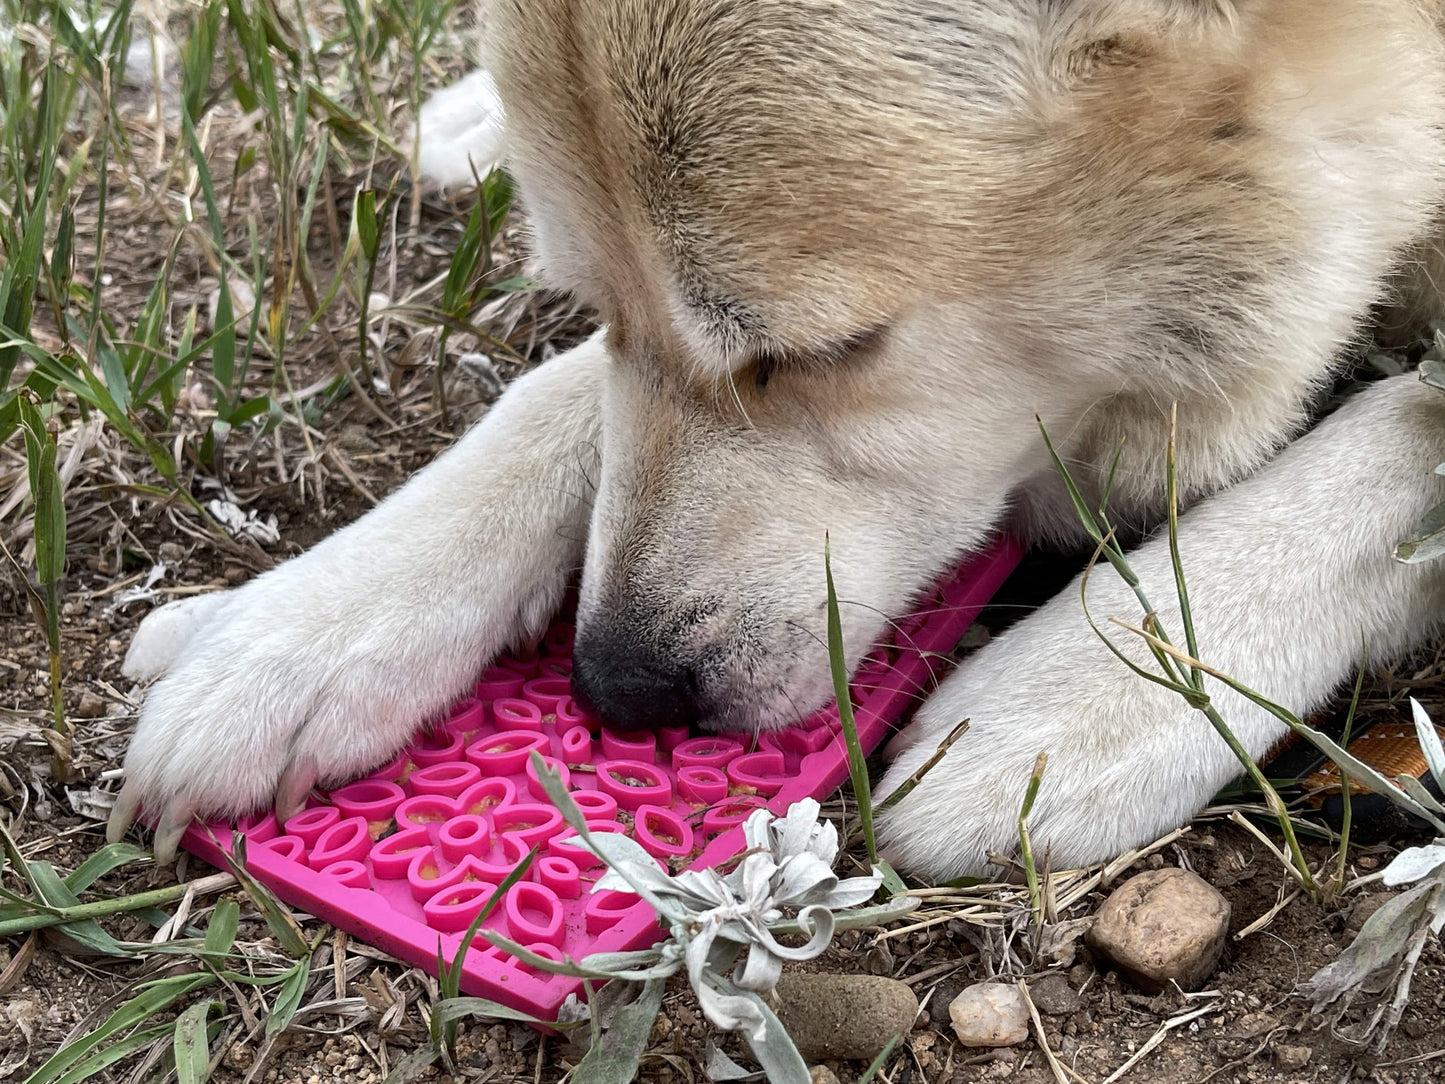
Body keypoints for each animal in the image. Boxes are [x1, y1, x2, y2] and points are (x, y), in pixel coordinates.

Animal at [106, 2, 1445, 884]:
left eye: (818, 351)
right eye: (589, 301)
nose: (615, 691)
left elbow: (1399, 426)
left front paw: (1093, 686)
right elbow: (555, 395)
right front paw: (301, 625)